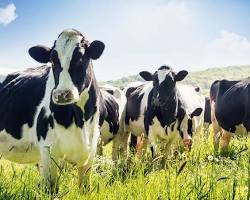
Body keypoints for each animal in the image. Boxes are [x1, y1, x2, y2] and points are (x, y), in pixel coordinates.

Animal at [0, 28, 105, 193]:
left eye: (81, 58)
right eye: (53, 61)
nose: (62, 94)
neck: (80, 120)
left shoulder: (91, 151)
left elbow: (85, 189)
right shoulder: (48, 151)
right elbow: (51, 189)